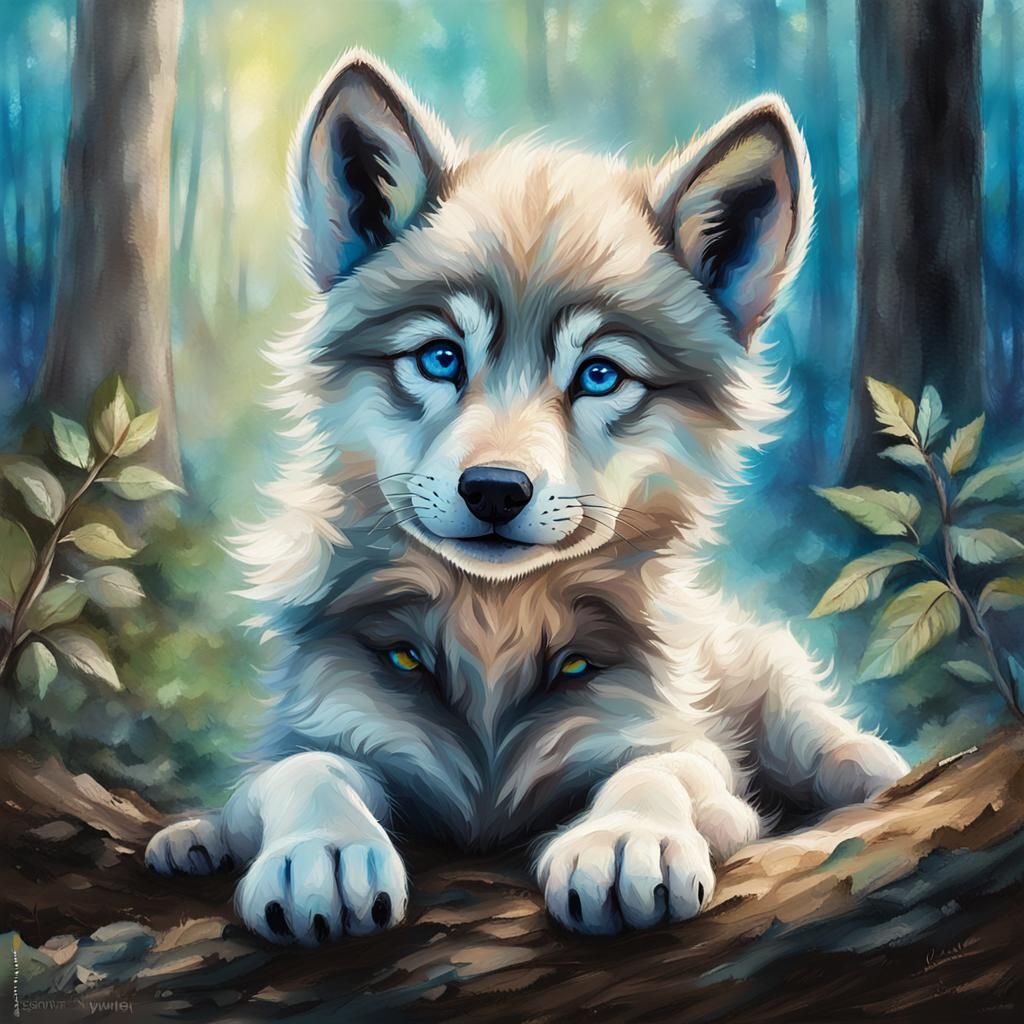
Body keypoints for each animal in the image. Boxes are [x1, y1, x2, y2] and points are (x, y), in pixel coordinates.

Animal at [147, 51, 908, 941]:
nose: (495, 490)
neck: (494, 628)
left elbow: (664, 772)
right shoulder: (328, 724)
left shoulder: (688, 754)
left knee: (824, 740)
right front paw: (323, 853)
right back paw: (192, 840)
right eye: (441, 358)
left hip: (774, 690)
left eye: (600, 375)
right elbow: (299, 769)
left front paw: (626, 840)